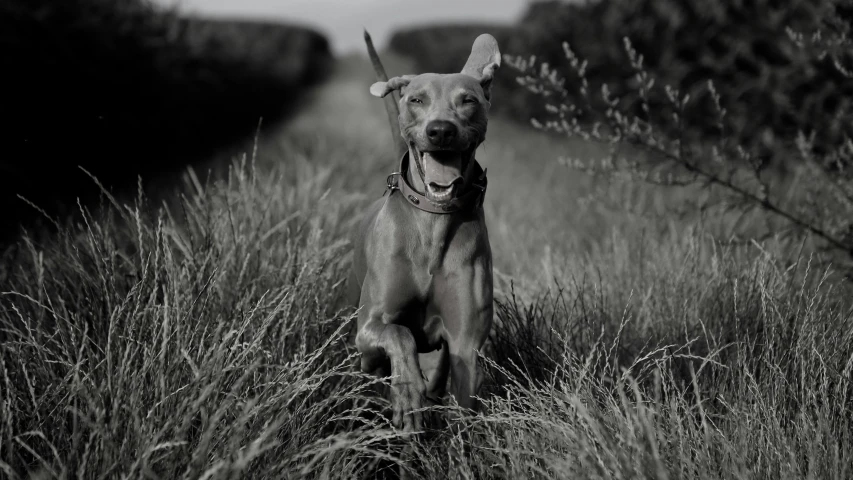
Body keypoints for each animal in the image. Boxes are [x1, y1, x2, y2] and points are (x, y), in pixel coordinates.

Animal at [348, 33, 500, 432]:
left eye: (468, 100)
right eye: (416, 99)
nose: (441, 130)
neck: (433, 222)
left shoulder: (466, 344)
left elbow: (463, 403)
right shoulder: (369, 327)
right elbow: (398, 334)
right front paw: (406, 393)